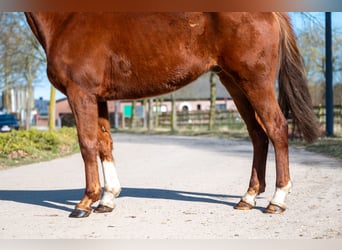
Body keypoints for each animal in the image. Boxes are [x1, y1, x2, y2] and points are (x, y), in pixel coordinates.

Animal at [25, 12, 320, 218]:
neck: (67, 20)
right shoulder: (99, 98)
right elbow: (104, 144)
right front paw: (107, 199)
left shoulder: (81, 93)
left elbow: (87, 144)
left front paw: (85, 203)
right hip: (234, 83)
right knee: (258, 134)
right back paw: (247, 197)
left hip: (255, 82)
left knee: (277, 128)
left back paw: (277, 200)